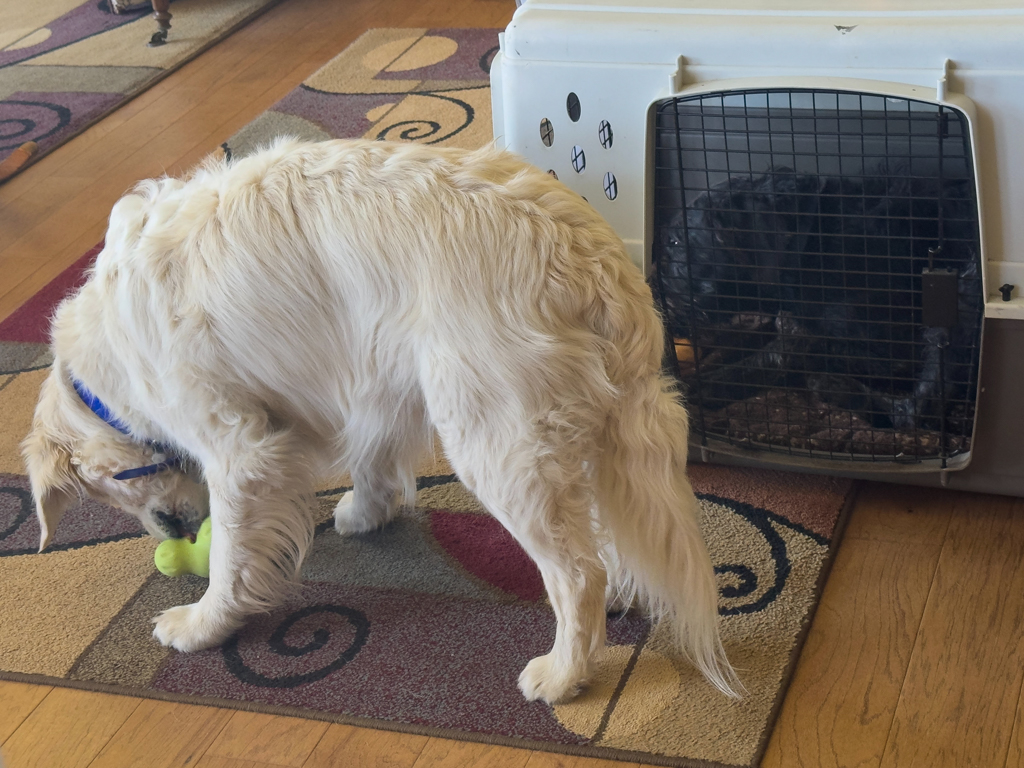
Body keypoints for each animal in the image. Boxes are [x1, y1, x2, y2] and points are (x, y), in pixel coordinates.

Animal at [19, 138, 741, 704]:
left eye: (115, 488)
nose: (172, 531)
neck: (105, 355)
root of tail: (593, 259)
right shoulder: (369, 375)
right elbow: (373, 457)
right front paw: (367, 511)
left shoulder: (239, 448)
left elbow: (230, 556)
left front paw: (202, 624)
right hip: (581, 426)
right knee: (601, 529)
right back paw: (623, 587)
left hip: (496, 440)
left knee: (575, 573)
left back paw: (564, 672)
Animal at [655, 167, 983, 460]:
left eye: (675, 242)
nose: (654, 293)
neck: (808, 244)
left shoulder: (884, 347)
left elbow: (780, 352)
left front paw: (700, 386)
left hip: (963, 293)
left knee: (914, 414)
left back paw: (838, 389)